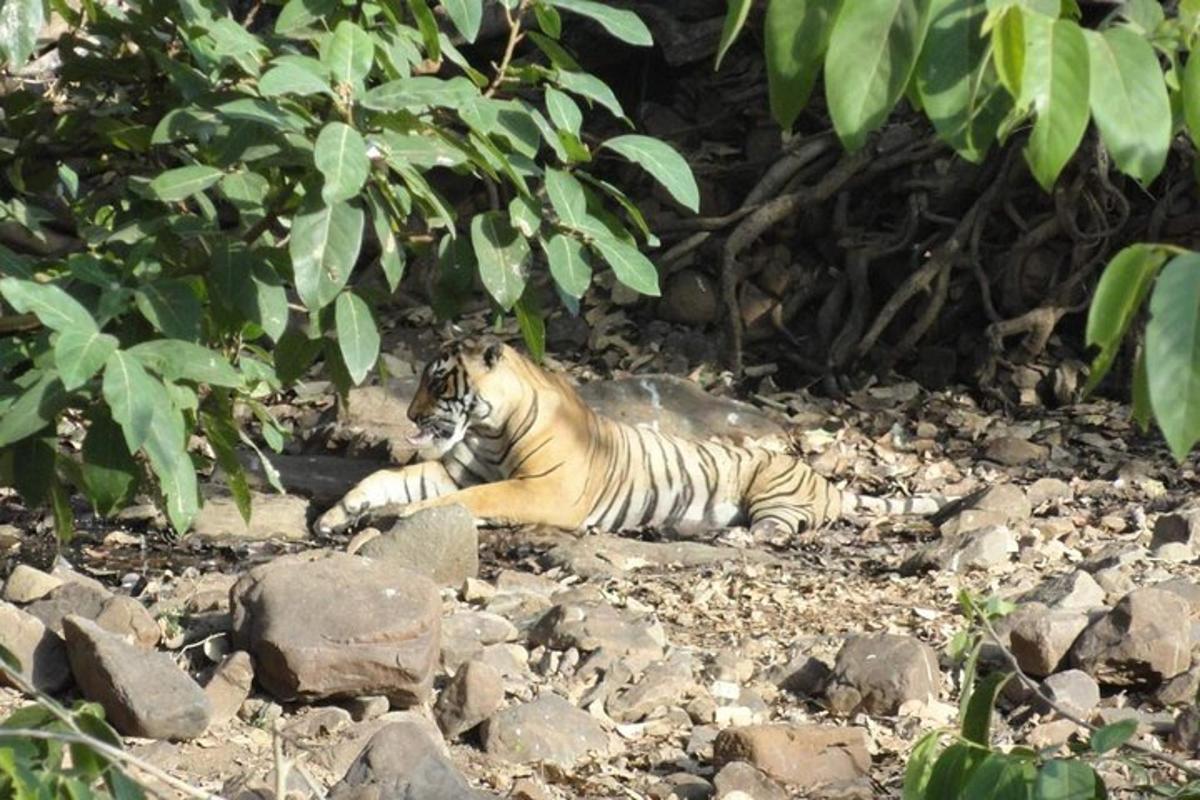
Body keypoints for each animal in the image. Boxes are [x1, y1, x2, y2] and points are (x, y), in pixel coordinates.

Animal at [316, 338, 945, 537]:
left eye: (438, 381)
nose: (410, 414)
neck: (490, 429)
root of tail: (822, 478)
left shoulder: (543, 490)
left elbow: (472, 499)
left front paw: (399, 518)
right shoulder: (454, 468)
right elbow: (387, 478)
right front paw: (335, 516)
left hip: (773, 487)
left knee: (775, 532)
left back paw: (736, 536)